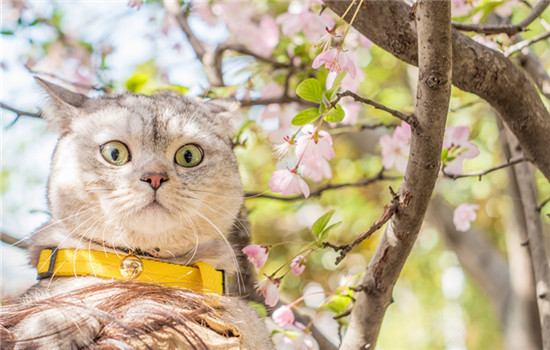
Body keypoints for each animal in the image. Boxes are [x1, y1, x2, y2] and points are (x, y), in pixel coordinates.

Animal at [0, 78, 276, 348]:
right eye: (114, 153)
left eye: (189, 156)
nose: (154, 177)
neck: (142, 265)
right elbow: (60, 303)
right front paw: (52, 327)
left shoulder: (242, 316)